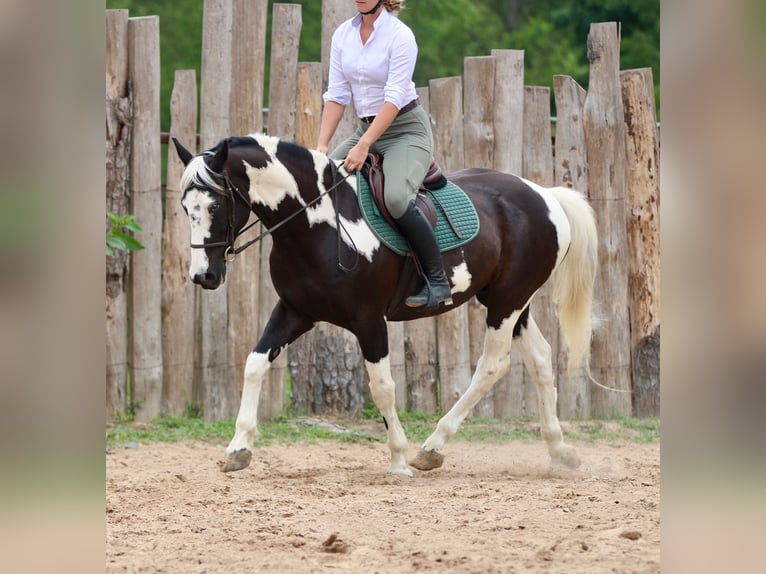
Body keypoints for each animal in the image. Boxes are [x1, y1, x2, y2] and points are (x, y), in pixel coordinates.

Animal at [172, 133, 598, 477]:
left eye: (214, 206)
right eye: (184, 207)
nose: (204, 276)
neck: (319, 225)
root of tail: (544, 195)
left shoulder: (369, 321)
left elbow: (382, 387)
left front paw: (397, 459)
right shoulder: (295, 311)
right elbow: (254, 363)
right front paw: (238, 449)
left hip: (509, 300)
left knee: (493, 364)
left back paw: (431, 448)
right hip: (507, 301)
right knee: (540, 358)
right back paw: (560, 450)